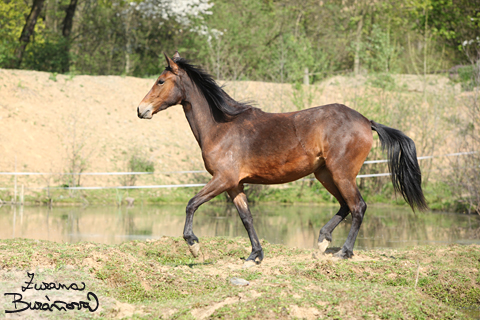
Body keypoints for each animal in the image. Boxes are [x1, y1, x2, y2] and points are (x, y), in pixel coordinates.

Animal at [136, 52, 428, 262]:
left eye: (160, 81)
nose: (141, 109)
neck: (221, 126)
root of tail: (366, 121)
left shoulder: (223, 179)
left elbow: (191, 204)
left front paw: (194, 245)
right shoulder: (234, 185)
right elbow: (246, 218)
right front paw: (255, 255)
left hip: (341, 173)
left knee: (358, 207)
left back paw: (344, 252)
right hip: (325, 174)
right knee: (345, 206)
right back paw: (322, 242)